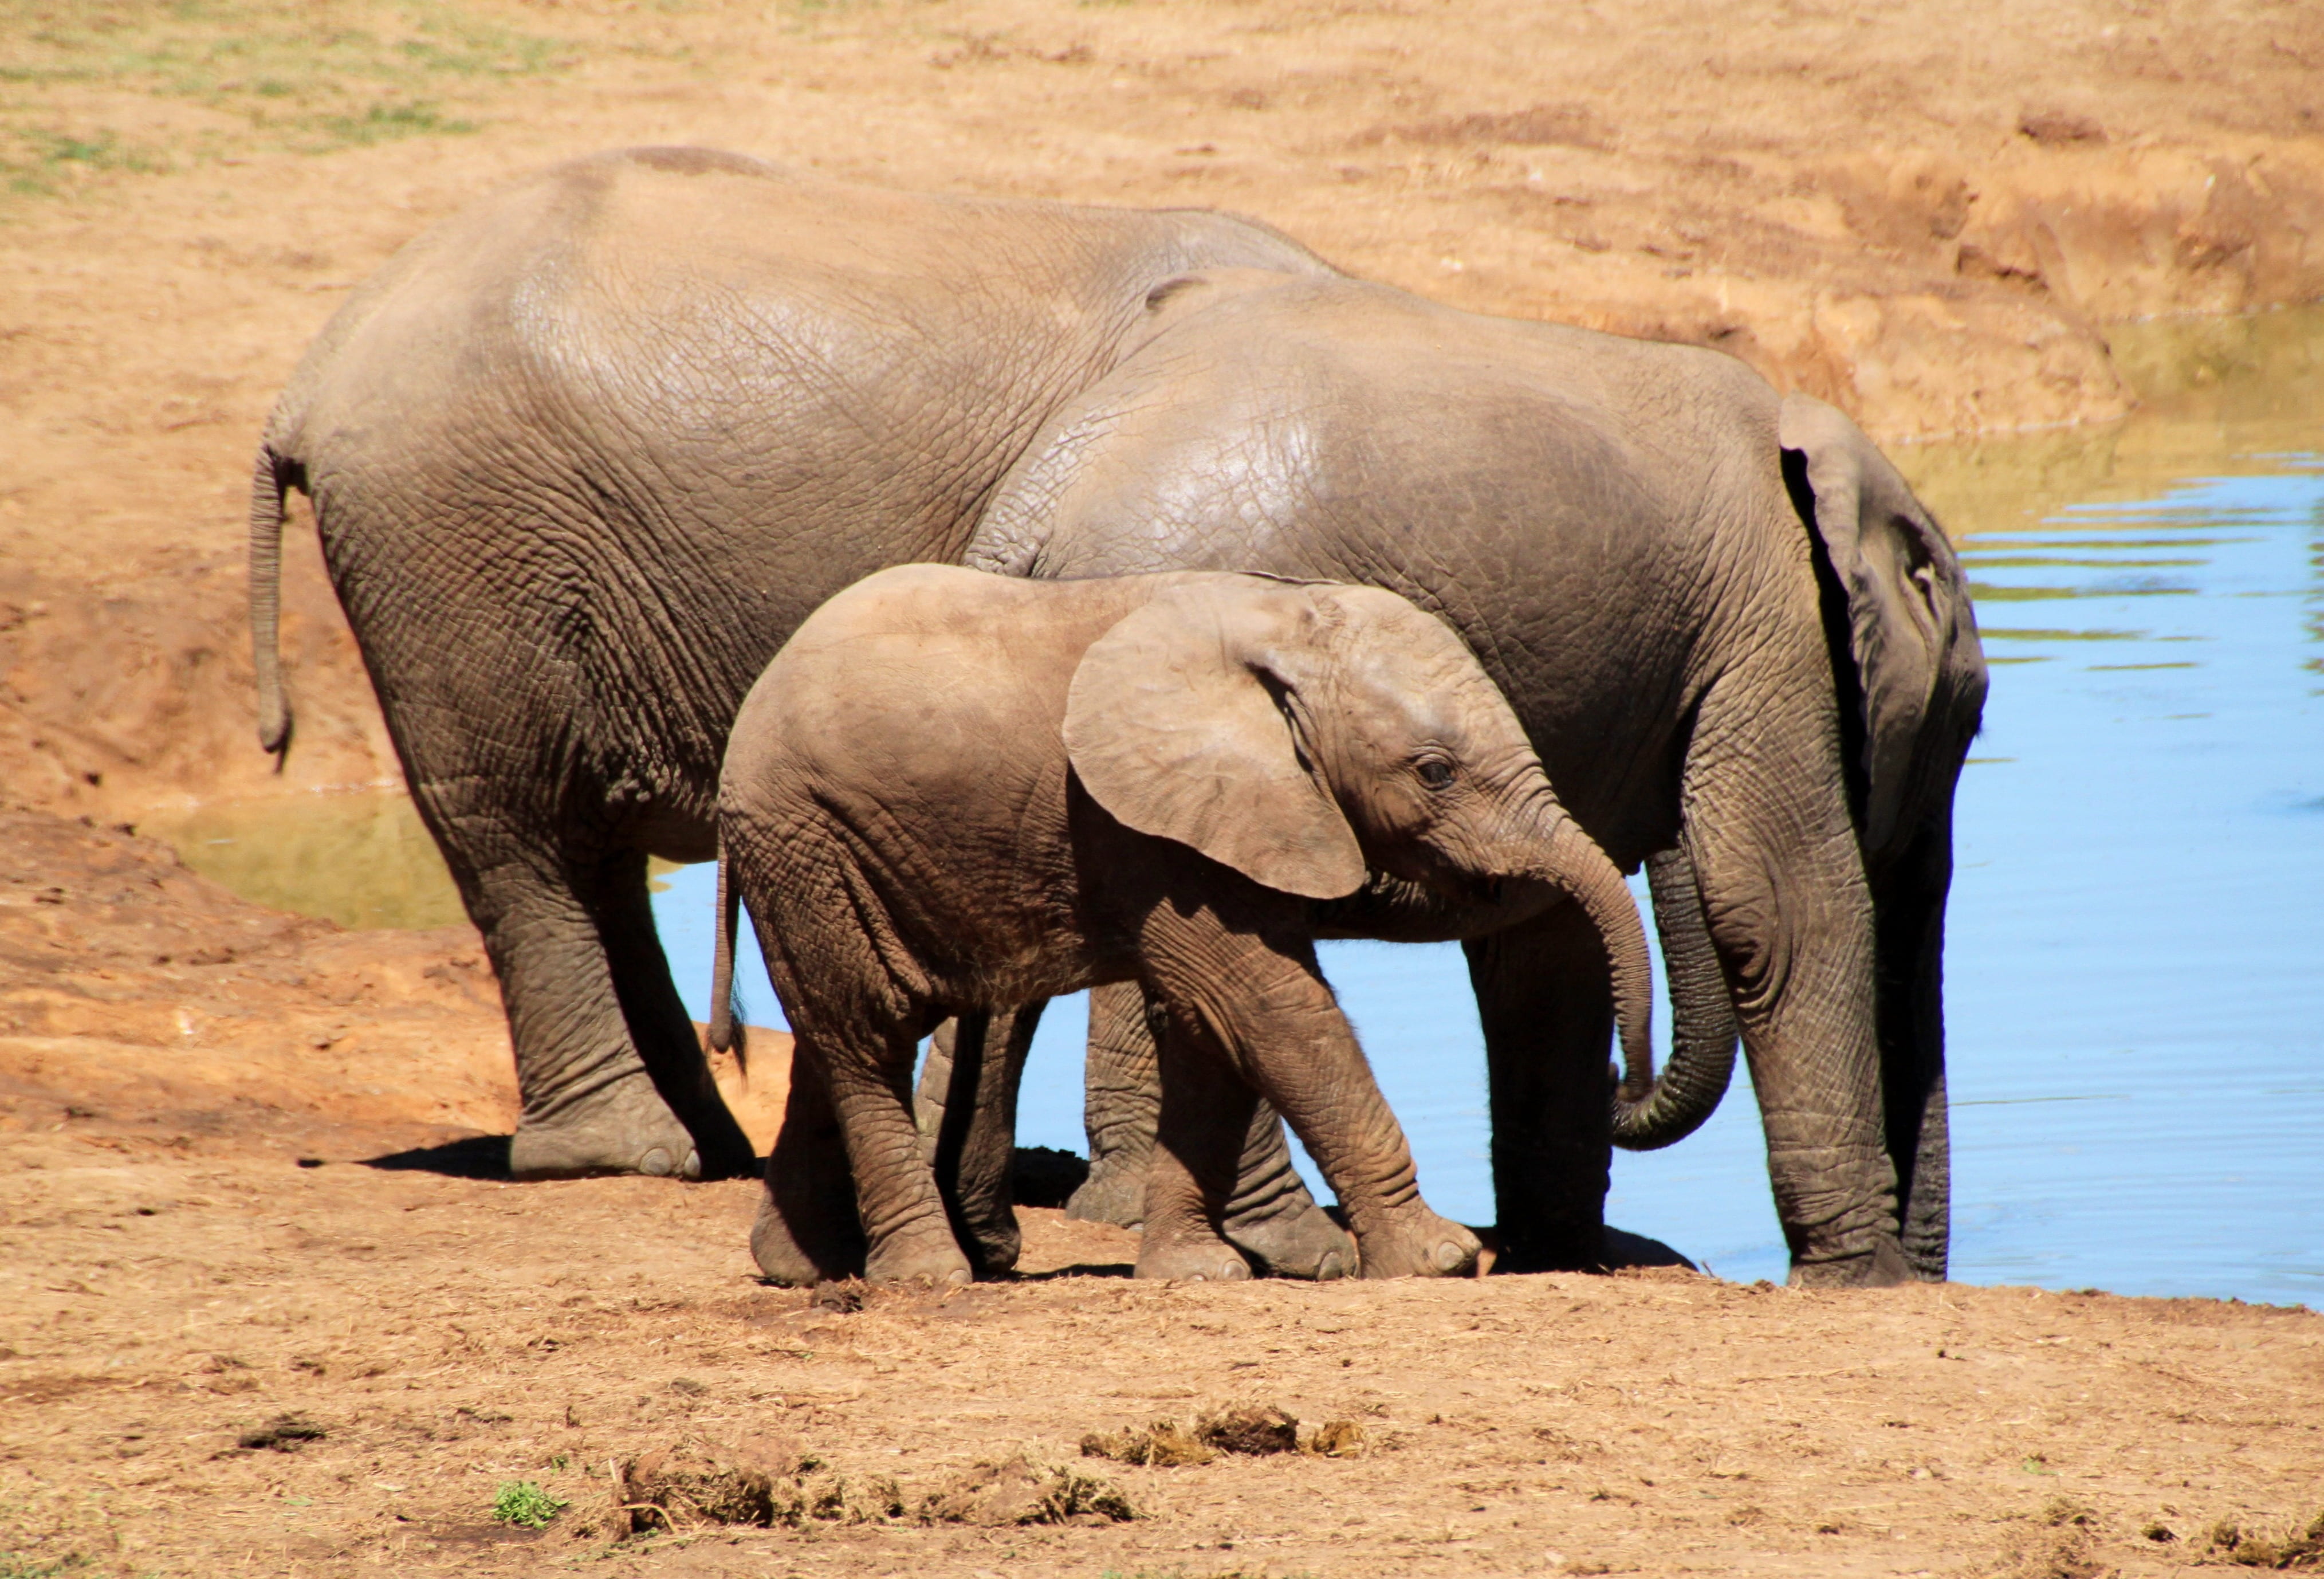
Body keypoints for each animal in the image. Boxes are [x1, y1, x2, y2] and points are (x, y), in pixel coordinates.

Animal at [705, 564, 1656, 1286]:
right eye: (1434, 773)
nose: (1624, 1093)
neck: (1281, 624)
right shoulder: (1145, 824)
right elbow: (1267, 1007)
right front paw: (1441, 1261)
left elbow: (1210, 1032)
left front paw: (1196, 1274)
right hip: (801, 835)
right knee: (865, 1038)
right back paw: (927, 1276)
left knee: (833, 1036)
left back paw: (801, 1268)